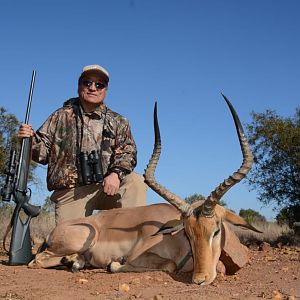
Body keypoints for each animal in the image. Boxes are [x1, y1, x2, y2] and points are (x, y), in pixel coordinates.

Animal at [28, 94, 260, 286]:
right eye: (188, 232)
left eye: (216, 230)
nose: (199, 279)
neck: (175, 240)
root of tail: (55, 230)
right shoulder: (140, 256)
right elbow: (166, 265)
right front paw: (113, 264)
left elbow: (220, 267)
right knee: (35, 261)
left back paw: (76, 262)